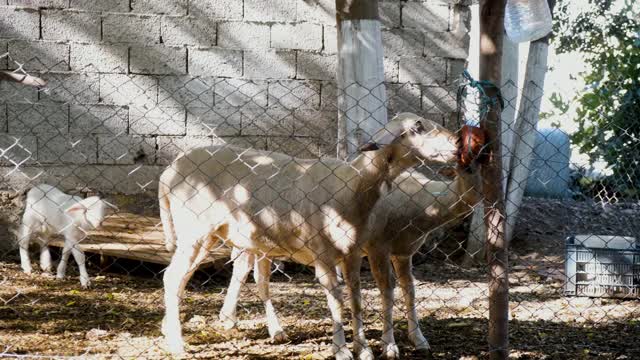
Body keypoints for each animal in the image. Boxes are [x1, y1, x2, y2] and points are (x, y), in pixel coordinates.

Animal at [159, 113, 460, 360]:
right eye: (418, 127)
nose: (458, 143)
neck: (351, 187)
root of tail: (168, 172)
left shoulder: (352, 254)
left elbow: (356, 299)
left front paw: (362, 349)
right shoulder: (324, 255)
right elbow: (336, 301)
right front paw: (342, 350)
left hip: (208, 236)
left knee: (182, 278)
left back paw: (169, 331)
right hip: (194, 231)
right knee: (172, 277)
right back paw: (177, 345)